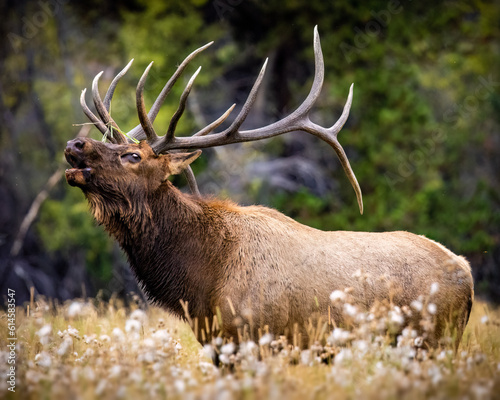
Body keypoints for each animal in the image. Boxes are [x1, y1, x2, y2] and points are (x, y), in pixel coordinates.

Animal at [65, 28, 472, 348]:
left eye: (133, 155)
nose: (75, 144)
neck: (199, 283)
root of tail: (466, 275)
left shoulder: (254, 336)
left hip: (433, 340)